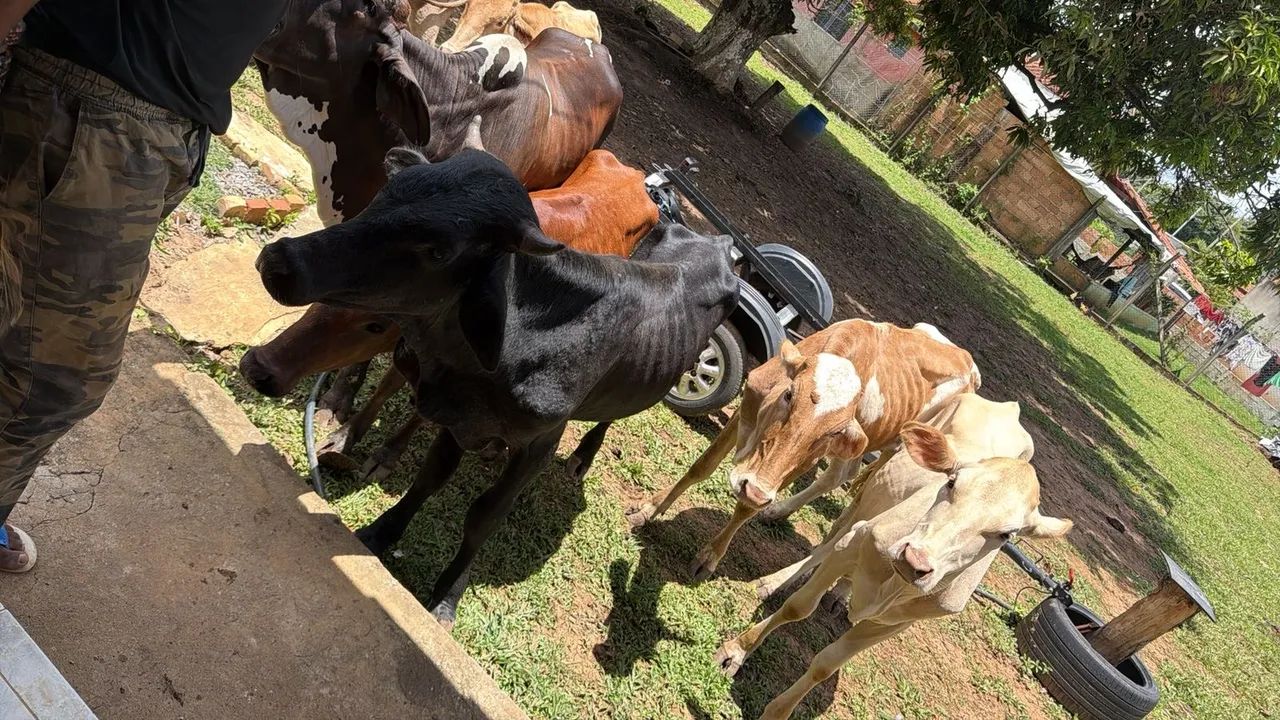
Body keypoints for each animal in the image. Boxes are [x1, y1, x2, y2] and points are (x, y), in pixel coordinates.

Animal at [627, 319, 981, 581]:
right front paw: (649, 509)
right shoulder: (746, 410)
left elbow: (747, 506)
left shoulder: (797, 463)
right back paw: (778, 512)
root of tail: (967, 361)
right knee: (840, 473)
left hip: (896, 451)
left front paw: (710, 556)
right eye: (789, 395)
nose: (755, 489)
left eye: (833, 430)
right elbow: (702, 466)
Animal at [713, 416, 1071, 720]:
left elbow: (826, 664)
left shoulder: (894, 624)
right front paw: (735, 651)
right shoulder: (856, 542)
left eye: (1006, 535)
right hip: (866, 498)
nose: (916, 561)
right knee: (830, 539)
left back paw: (840, 594)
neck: (894, 583)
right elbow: (797, 607)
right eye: (952, 482)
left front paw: (778, 710)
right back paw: (777, 577)